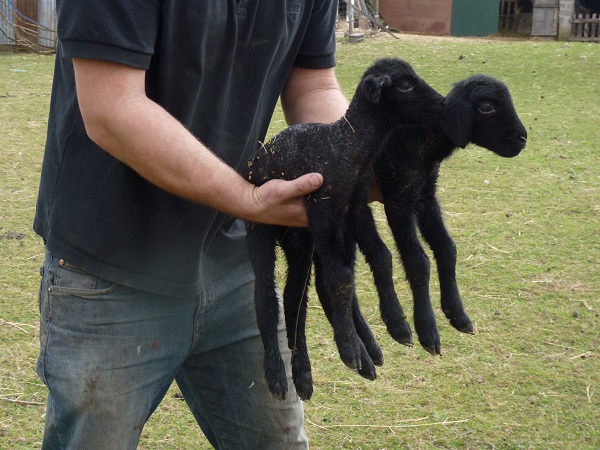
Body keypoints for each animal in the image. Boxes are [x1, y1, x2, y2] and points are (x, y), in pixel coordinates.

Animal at [241, 58, 442, 400]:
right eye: (404, 85)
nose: (442, 103)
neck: (348, 145)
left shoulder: (354, 210)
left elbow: (375, 260)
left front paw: (395, 327)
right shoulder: (322, 210)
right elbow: (342, 278)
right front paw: (349, 348)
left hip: (301, 239)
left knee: (296, 297)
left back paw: (310, 373)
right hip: (262, 227)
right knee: (267, 296)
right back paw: (279, 376)